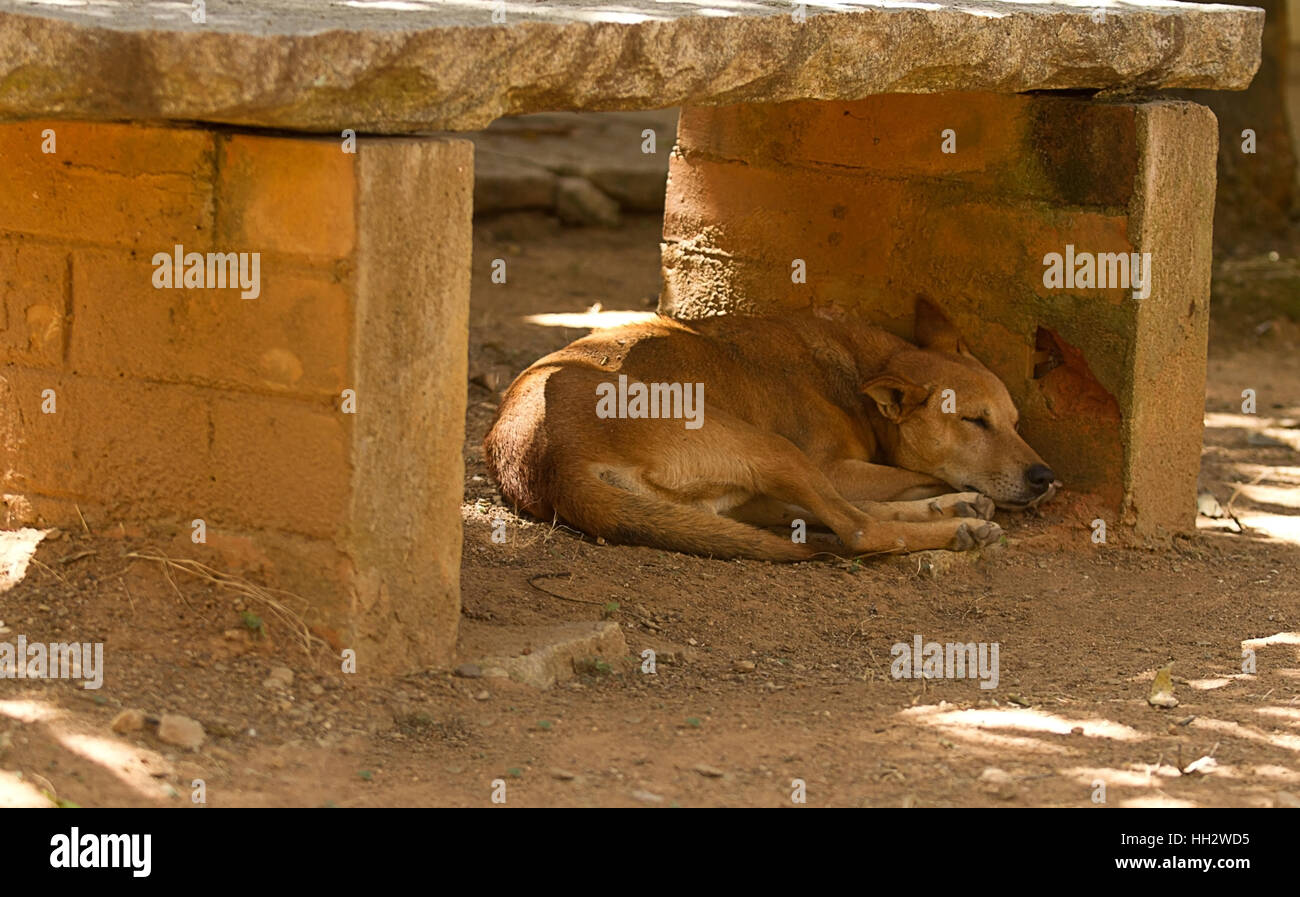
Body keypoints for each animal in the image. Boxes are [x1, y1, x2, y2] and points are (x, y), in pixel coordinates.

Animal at [486, 304, 1055, 561]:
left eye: (1015, 422)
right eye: (974, 421)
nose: (1045, 476)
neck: (862, 371)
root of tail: (547, 463)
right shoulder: (832, 466)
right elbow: (910, 480)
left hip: (738, 488)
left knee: (827, 517)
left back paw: (955, 510)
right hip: (770, 450)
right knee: (860, 530)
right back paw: (958, 526)